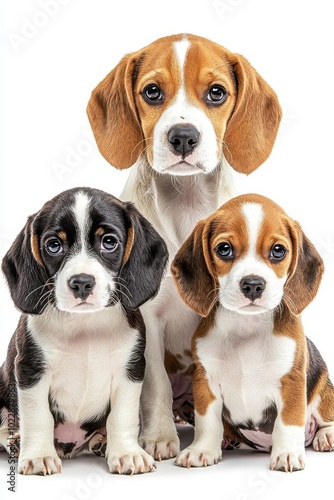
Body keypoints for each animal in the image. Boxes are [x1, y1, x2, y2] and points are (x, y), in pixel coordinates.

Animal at [0, 186, 167, 474]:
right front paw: (39, 455)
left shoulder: (131, 370)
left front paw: (126, 453)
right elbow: (37, 417)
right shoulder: (30, 371)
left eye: (109, 242)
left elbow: (122, 417)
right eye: (53, 245)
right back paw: (17, 441)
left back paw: (102, 442)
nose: (81, 283)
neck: (86, 325)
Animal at [86, 33, 282, 458]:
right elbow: (155, 384)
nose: (183, 137)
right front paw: (159, 437)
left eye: (216, 92)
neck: (186, 203)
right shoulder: (149, 320)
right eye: (152, 92)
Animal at [171, 193, 334, 470]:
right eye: (223, 249)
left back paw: (326, 436)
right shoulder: (205, 381)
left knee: (325, 418)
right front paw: (202, 449)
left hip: (323, 389)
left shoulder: (291, 380)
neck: (246, 327)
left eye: (278, 251)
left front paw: (287, 453)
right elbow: (207, 422)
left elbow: (288, 422)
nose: (253, 285)